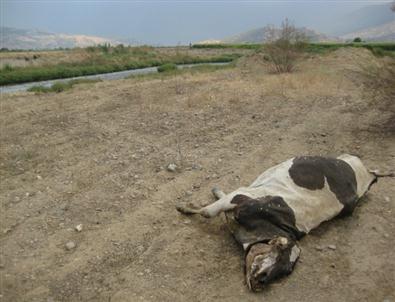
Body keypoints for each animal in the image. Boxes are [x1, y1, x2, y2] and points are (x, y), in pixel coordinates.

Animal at [176, 155, 392, 292]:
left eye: (286, 270)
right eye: (280, 253)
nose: (263, 280)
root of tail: (365, 172)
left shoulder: (239, 196)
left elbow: (211, 209)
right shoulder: (241, 197)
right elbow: (207, 211)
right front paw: (185, 207)